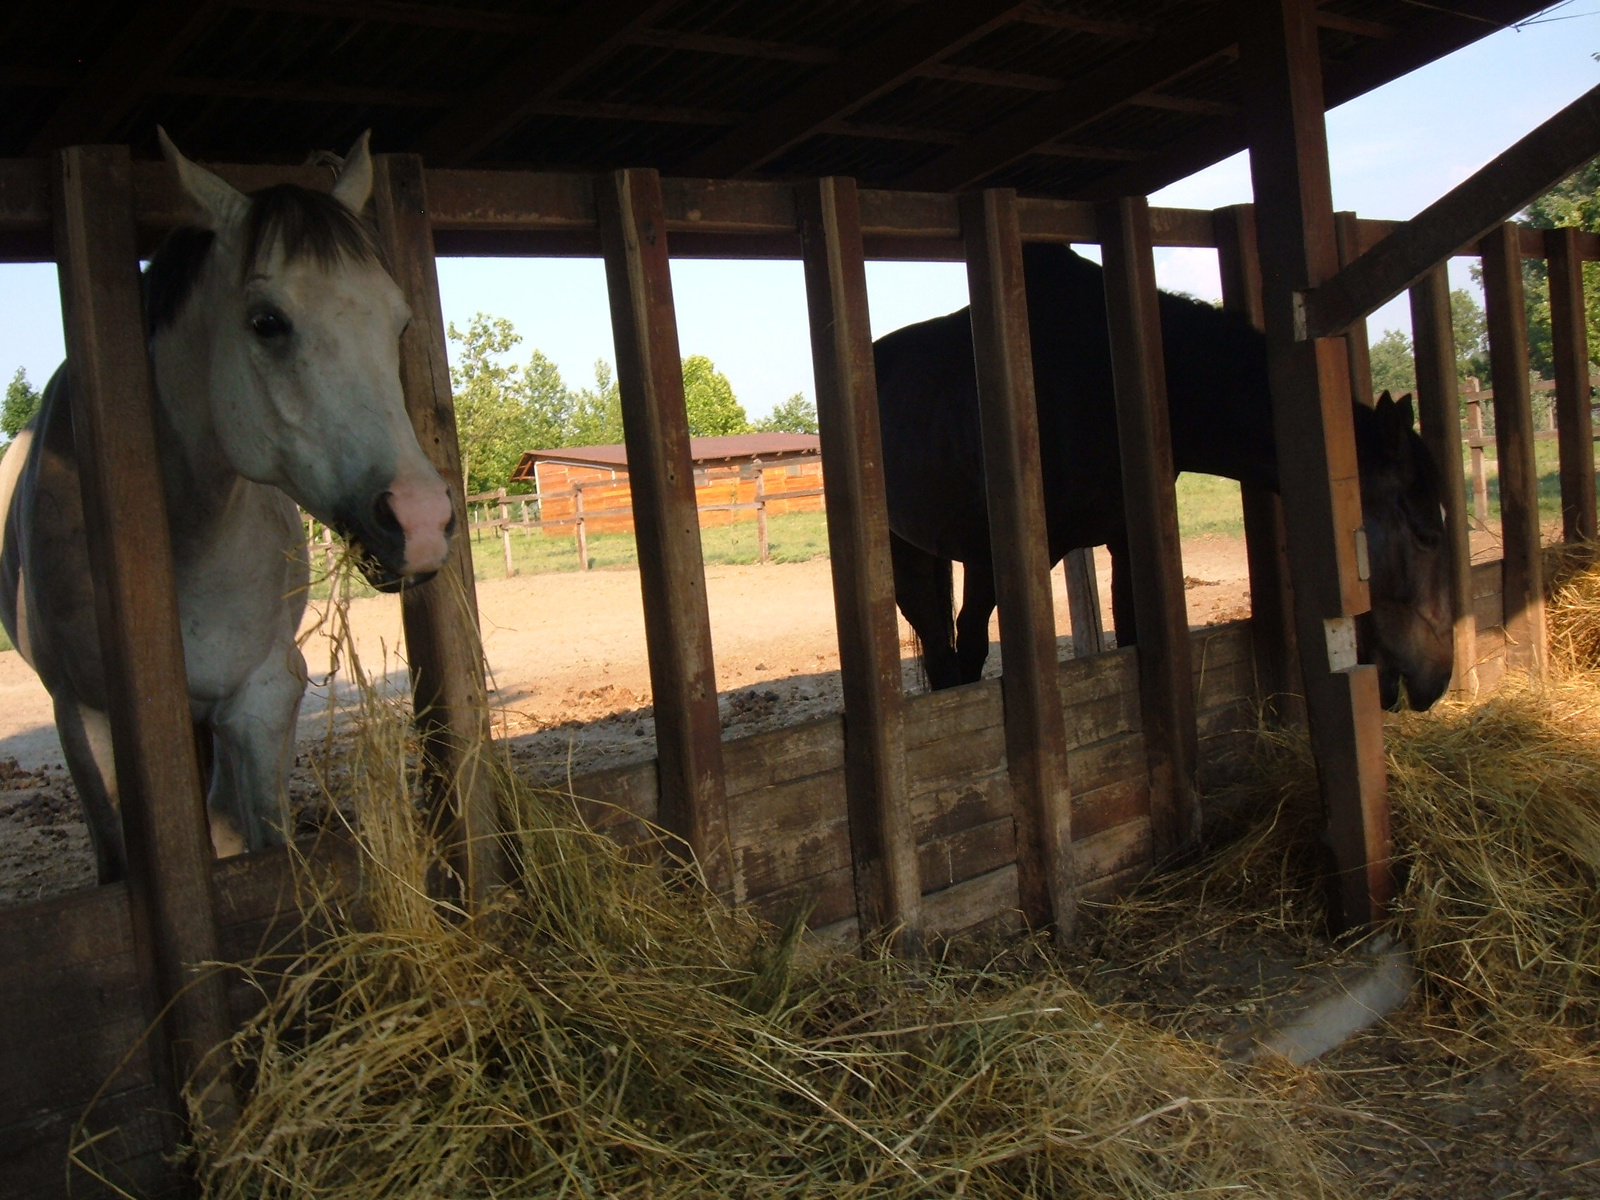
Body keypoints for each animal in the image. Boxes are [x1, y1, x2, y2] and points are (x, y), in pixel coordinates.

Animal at [0, 133, 457, 883]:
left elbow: (266, 846)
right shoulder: (88, 721)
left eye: (399, 321)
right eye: (267, 322)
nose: (419, 521)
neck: (188, 539)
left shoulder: (262, 696)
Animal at [870, 244, 1459, 713]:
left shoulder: (1125, 539)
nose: (1437, 679)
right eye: (1427, 535)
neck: (1095, 378)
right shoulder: (1001, 559)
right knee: (947, 651)